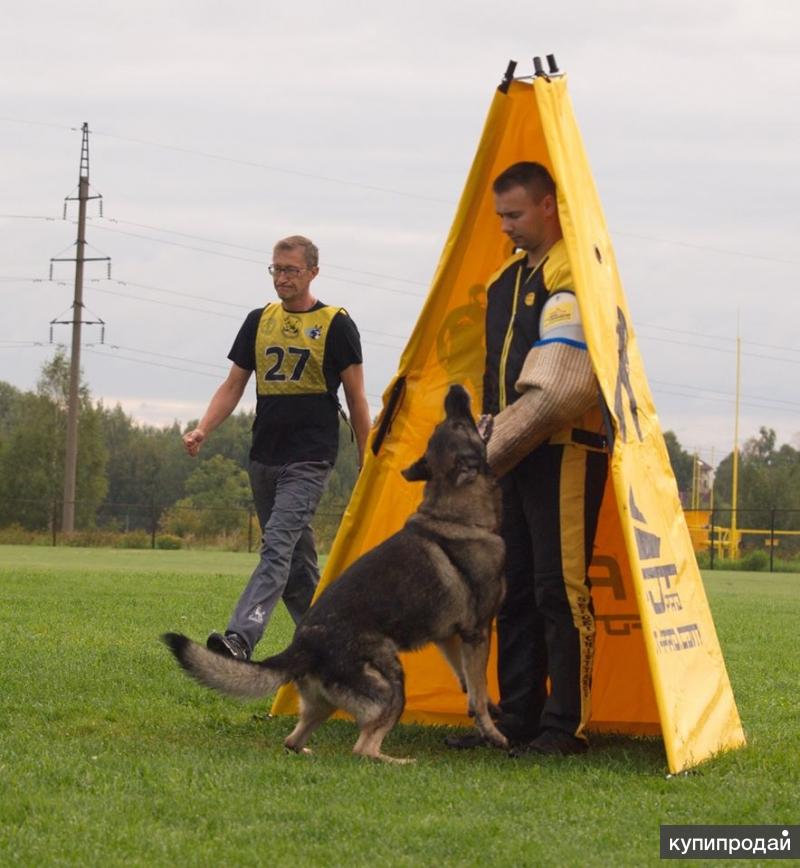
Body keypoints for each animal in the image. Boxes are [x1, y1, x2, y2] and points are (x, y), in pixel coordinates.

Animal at [162, 384, 506, 760]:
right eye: (457, 424)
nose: (455, 390)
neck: (454, 512)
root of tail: (303, 646)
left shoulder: (449, 636)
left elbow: (469, 683)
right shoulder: (476, 632)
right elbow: (478, 689)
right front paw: (493, 732)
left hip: (326, 703)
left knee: (294, 739)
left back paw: (308, 751)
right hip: (392, 683)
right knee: (363, 748)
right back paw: (399, 761)